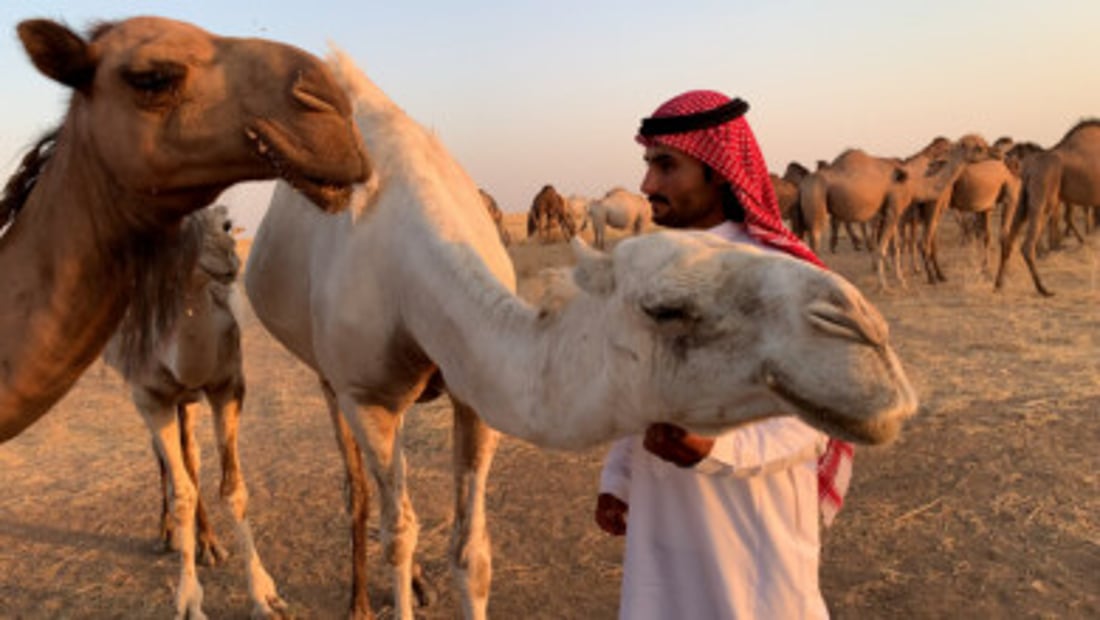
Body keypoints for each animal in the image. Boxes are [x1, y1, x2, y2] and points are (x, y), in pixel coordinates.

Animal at [102, 205, 283, 618]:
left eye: (227, 223)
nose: (229, 256)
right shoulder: (149, 397)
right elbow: (180, 490)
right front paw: (187, 600)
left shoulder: (226, 386)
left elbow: (232, 488)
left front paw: (264, 595)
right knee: (166, 461)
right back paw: (166, 535)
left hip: (189, 402)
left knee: (191, 456)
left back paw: (209, 545)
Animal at [244, 48, 917, 619]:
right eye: (666, 309)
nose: (866, 337)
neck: (409, 265)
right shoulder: (368, 395)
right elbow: (400, 533)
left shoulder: (472, 393)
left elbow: (472, 553)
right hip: (326, 376)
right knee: (362, 491)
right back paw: (360, 597)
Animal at [995, 120, 1100, 296]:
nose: (1007, 156)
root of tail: (1028, 167)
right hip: (1044, 197)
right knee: (1027, 245)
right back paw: (1043, 288)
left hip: (1023, 200)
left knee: (1008, 240)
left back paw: (998, 284)